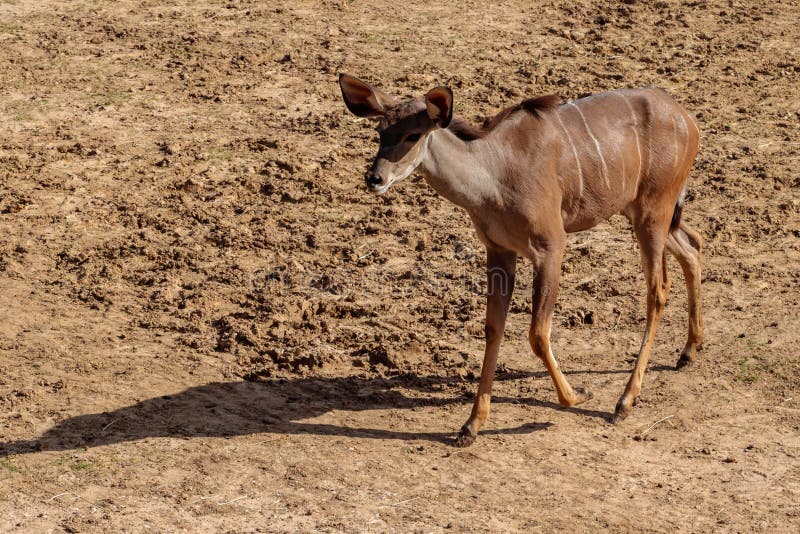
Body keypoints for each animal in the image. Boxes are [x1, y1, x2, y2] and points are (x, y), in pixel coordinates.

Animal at [340, 73, 704, 446]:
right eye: (380, 131)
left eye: (413, 135)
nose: (374, 178)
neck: (494, 174)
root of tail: (687, 120)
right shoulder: (499, 250)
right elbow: (493, 328)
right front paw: (471, 425)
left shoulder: (550, 247)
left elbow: (538, 334)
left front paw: (578, 395)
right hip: (643, 213)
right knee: (693, 248)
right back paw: (688, 352)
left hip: (652, 213)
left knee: (658, 290)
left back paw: (625, 402)